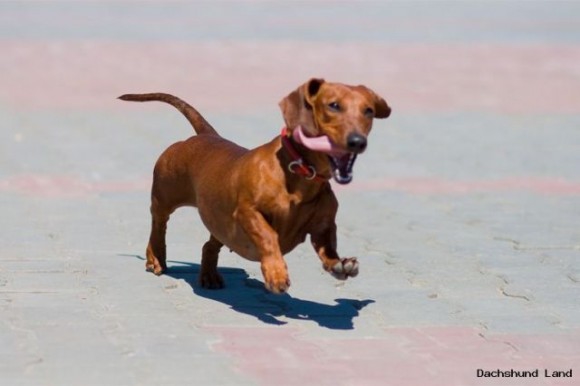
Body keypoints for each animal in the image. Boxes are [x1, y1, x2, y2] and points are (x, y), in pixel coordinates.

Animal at [118, 77, 390, 292]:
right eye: (333, 105)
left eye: (368, 111)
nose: (358, 141)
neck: (300, 175)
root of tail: (206, 135)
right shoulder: (248, 213)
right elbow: (269, 237)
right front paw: (276, 273)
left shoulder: (323, 226)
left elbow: (328, 248)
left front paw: (340, 265)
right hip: (164, 196)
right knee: (158, 224)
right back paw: (155, 257)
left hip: (219, 222)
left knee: (209, 244)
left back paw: (209, 275)